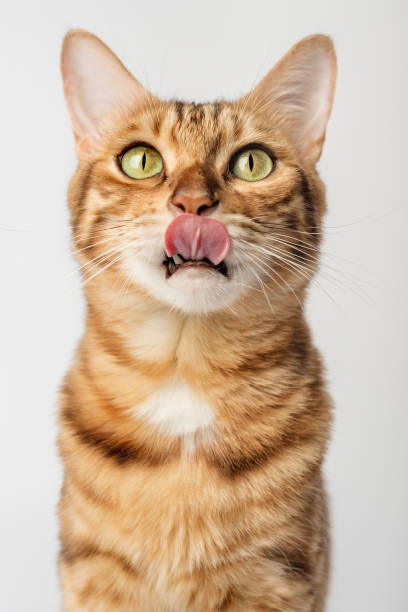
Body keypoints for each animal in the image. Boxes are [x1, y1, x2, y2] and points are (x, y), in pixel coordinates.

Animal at [58, 29, 338, 612]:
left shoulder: (276, 575)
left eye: (252, 163)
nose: (192, 204)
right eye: (140, 160)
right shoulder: (94, 573)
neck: (183, 373)